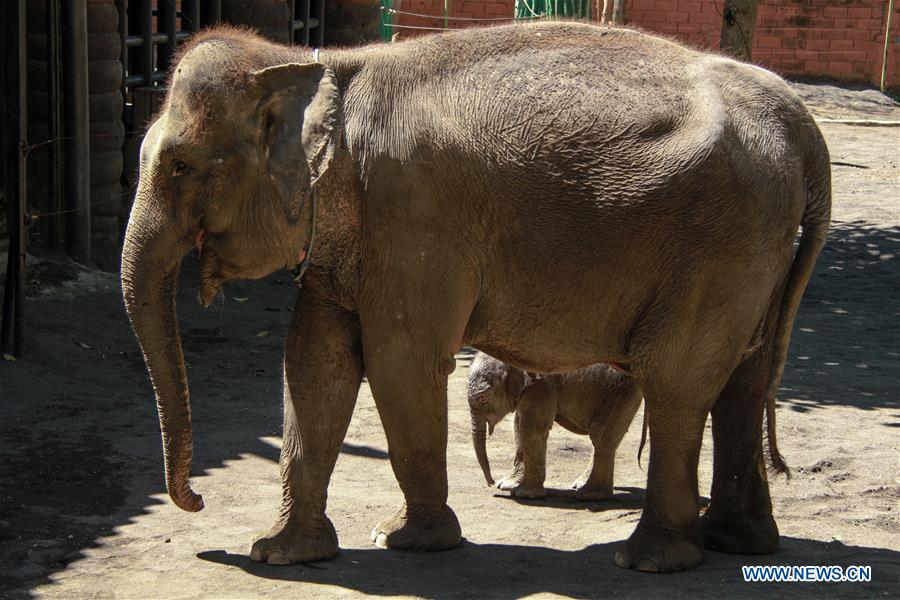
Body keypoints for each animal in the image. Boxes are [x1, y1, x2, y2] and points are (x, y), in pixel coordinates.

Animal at [468, 352, 642, 500]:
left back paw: (589, 495)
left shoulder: (541, 385)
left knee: (600, 435)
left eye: (482, 398)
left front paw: (523, 494)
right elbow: (518, 424)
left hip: (623, 389)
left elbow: (531, 429)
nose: (491, 483)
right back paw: (581, 485)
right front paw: (507, 485)